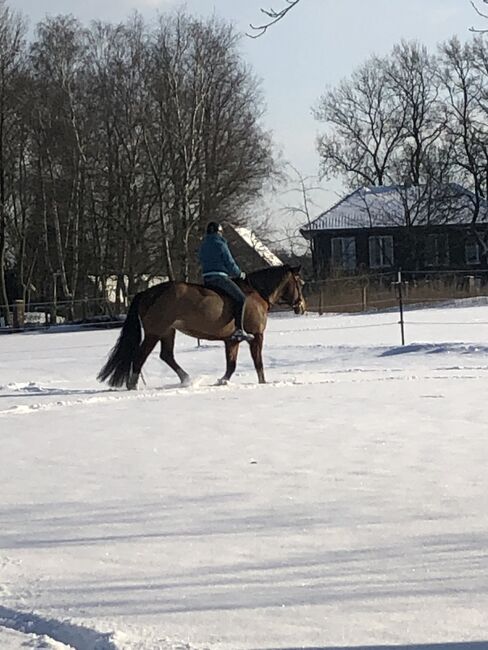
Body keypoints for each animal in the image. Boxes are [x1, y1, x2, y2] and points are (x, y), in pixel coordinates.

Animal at [96, 260, 304, 388]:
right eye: (299, 282)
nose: (301, 306)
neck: (256, 293)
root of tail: (147, 292)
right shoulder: (256, 336)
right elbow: (258, 362)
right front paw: (263, 383)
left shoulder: (231, 341)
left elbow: (231, 365)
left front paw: (222, 381)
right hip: (155, 333)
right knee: (140, 356)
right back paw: (133, 385)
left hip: (168, 332)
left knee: (166, 355)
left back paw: (186, 379)